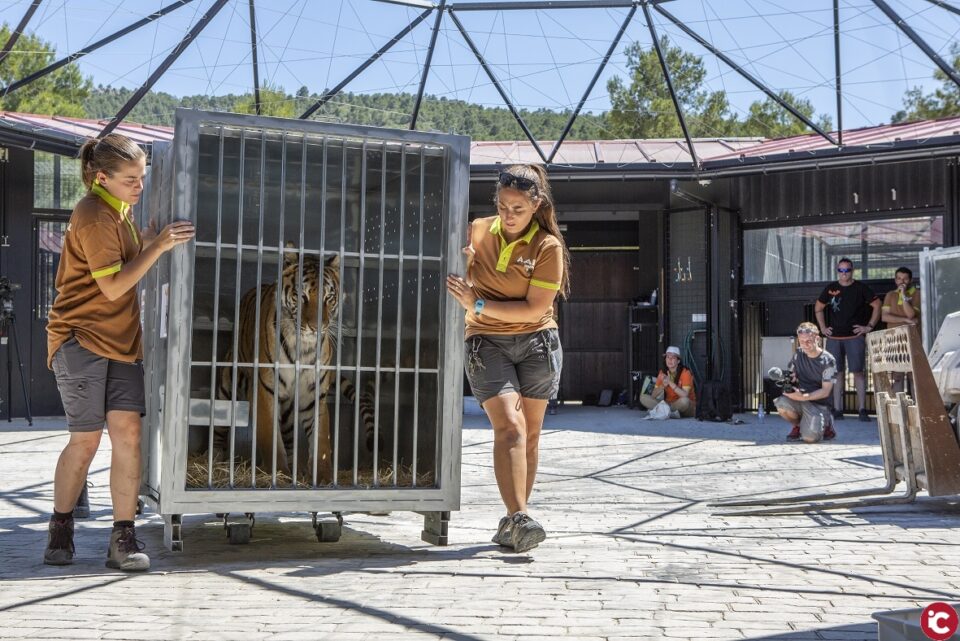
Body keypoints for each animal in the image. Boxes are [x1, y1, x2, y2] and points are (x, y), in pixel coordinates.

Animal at [213, 249, 378, 483]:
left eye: (329, 297)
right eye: (303, 296)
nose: (316, 327)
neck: (304, 349)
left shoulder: (314, 394)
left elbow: (321, 440)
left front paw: (323, 477)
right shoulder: (265, 390)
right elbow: (271, 439)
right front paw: (277, 475)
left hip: (289, 409)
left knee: (289, 436)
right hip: (227, 383)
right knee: (219, 426)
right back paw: (215, 461)